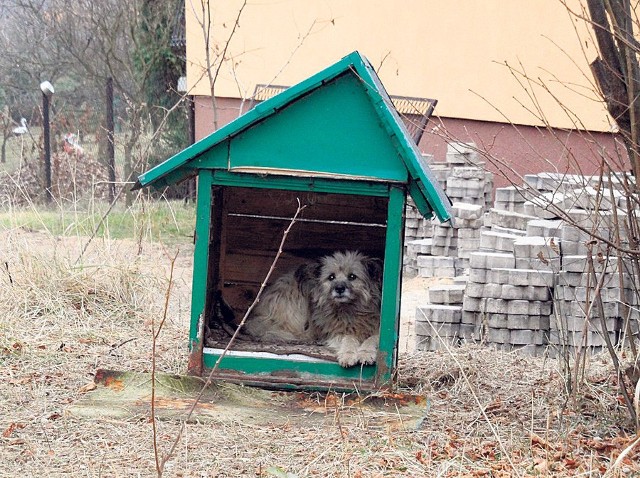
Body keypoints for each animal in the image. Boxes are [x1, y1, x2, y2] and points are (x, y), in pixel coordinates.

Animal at [244, 252, 384, 368]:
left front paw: (366, 353)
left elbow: (373, 339)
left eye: (352, 276)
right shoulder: (334, 331)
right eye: (331, 277)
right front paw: (348, 354)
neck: (350, 309)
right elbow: (348, 338)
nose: (339, 289)